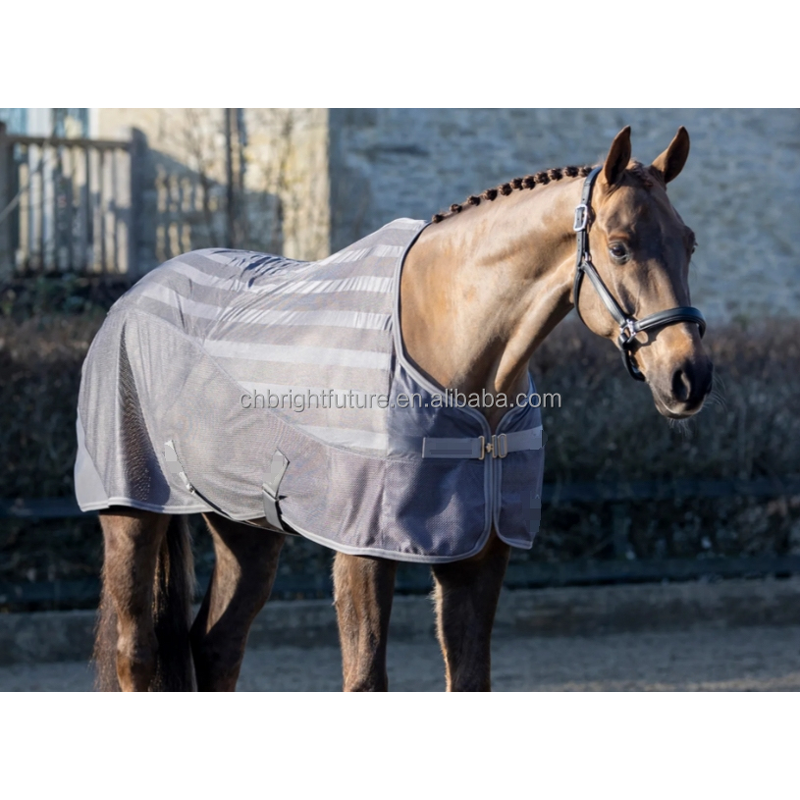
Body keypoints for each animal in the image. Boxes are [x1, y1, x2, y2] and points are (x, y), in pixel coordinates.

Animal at [89, 126, 712, 691]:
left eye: (689, 242)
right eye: (619, 246)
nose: (690, 377)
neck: (450, 350)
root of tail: (134, 293)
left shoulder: (479, 555)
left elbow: (470, 680)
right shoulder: (363, 549)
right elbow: (366, 679)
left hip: (246, 530)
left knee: (218, 646)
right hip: (132, 511)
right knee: (137, 653)